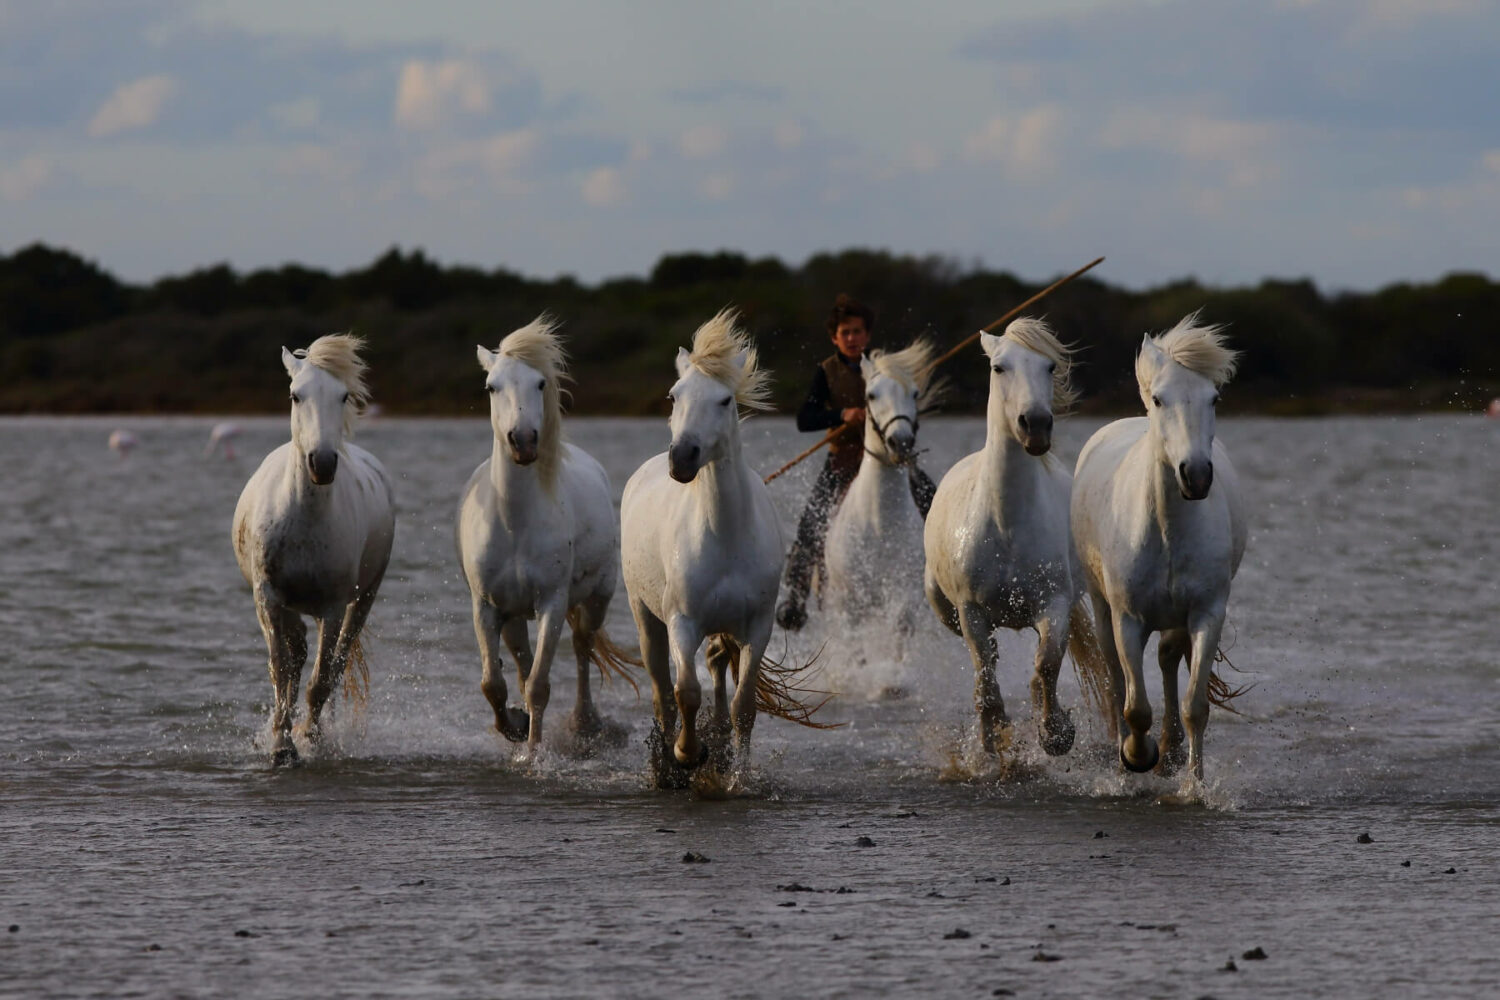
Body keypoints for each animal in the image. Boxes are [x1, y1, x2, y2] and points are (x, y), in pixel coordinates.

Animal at [232, 334, 395, 766]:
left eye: (343, 396)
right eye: (295, 395)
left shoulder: (334, 606)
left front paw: (311, 739)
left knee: (336, 661)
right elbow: (281, 670)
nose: (321, 463)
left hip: (363, 599)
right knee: (297, 657)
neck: (303, 519)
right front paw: (280, 746)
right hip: (290, 606)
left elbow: (321, 678)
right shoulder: (269, 598)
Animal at [456, 316, 635, 757]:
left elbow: (539, 685)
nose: (522, 441)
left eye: (540, 384)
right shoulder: (486, 607)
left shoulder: (552, 604)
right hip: (513, 615)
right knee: (520, 661)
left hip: (596, 599)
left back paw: (585, 723)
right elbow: (494, 683)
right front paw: (514, 728)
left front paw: (533, 753)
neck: (515, 524)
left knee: (583, 647)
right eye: (491, 387)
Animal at [620, 309, 792, 786]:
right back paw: (666, 763)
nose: (682, 458)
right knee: (662, 690)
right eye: (674, 395)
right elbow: (686, 692)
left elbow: (743, 706)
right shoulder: (683, 621)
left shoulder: (757, 627)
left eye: (725, 400)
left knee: (716, 667)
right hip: (645, 616)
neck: (727, 537)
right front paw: (686, 753)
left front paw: (737, 774)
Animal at [923, 318, 1110, 757]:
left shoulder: (1054, 605)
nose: (1036, 425)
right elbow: (986, 675)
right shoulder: (971, 612)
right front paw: (994, 740)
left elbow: (1046, 665)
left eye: (1050, 366)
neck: (1006, 526)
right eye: (999, 367)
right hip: (943, 606)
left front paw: (1056, 734)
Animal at [1070, 311, 1246, 780]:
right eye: (1160, 400)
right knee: (1115, 676)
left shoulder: (1206, 614)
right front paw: (1136, 756)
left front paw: (1193, 783)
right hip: (1102, 607)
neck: (1165, 531)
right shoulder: (1128, 620)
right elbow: (1135, 707)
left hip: (1175, 618)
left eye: (1214, 399)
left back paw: (1169, 750)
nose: (1196, 476)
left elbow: (1195, 706)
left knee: (1168, 660)